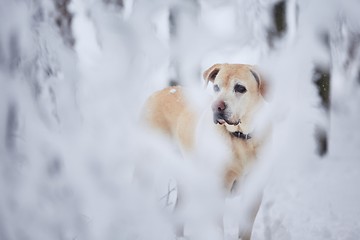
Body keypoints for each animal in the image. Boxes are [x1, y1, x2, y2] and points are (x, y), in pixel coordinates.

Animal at [142, 62, 268, 239]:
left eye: (240, 88)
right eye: (216, 87)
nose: (217, 107)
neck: (240, 138)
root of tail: (159, 91)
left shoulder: (254, 193)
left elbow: (245, 231)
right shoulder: (217, 192)